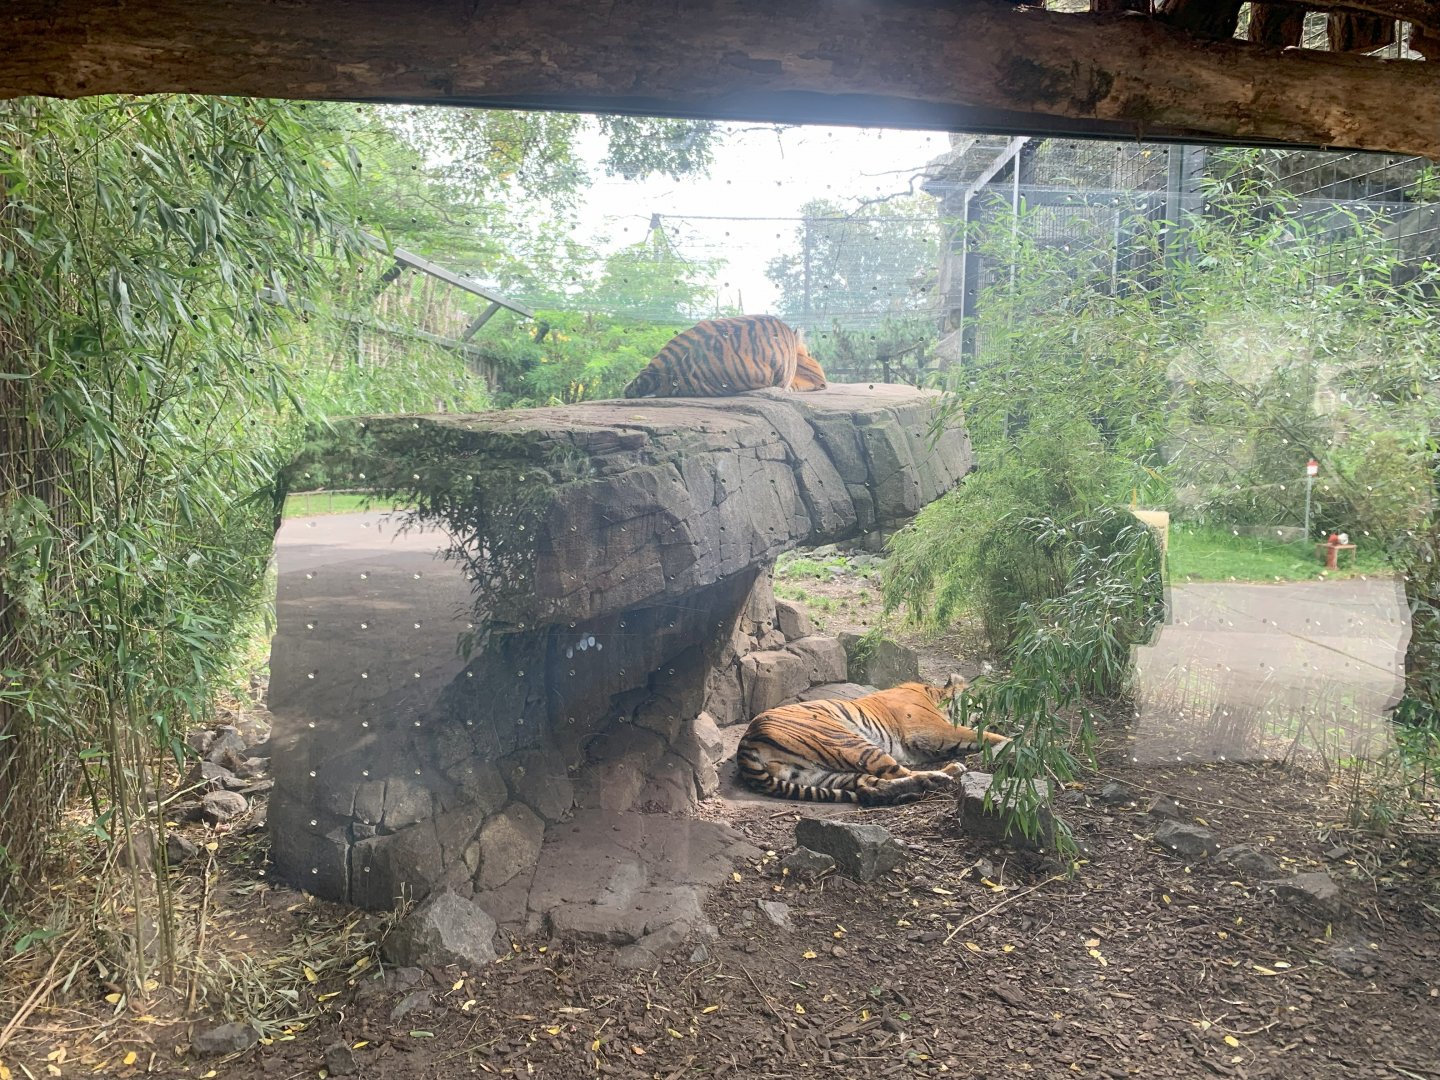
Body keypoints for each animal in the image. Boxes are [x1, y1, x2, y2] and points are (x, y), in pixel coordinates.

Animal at [736, 676, 1011, 805]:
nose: (1002, 713)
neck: (935, 695)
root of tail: (745, 743)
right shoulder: (935, 730)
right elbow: (982, 735)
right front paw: (1012, 741)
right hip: (849, 742)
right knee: (897, 773)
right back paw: (945, 774)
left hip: (816, 774)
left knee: (870, 784)